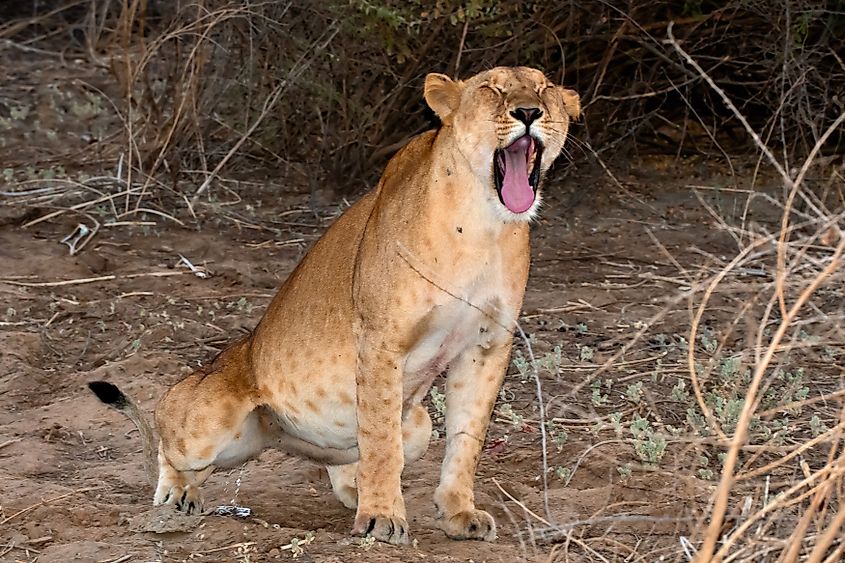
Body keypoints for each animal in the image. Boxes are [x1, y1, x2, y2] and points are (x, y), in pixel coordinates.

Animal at [89, 66, 580, 545]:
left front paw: (458, 514)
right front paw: (383, 520)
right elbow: (381, 439)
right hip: (209, 417)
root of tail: (284, 441)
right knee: (165, 444)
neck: (484, 225)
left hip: (418, 423)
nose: (528, 112)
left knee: (350, 463)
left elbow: (466, 437)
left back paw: (356, 492)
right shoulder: (382, 339)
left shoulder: (487, 345)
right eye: (492, 89)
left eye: (544, 89)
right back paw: (176, 496)